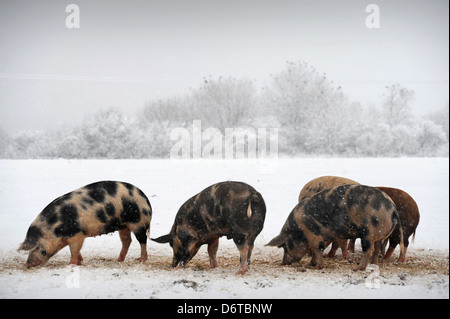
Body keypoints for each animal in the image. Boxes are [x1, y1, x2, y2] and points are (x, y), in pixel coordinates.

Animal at [18, 181, 152, 268]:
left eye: (42, 251)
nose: (28, 264)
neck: (54, 227)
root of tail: (146, 201)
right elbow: (75, 250)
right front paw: (80, 261)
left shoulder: (77, 234)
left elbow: (74, 249)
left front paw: (71, 264)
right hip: (123, 226)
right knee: (127, 241)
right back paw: (118, 260)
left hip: (138, 223)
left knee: (142, 240)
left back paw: (141, 260)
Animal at [268, 184, 404, 272]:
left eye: (285, 246)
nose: (283, 262)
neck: (299, 230)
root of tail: (393, 209)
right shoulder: (324, 236)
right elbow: (320, 249)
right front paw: (312, 263)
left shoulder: (313, 235)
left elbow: (317, 249)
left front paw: (318, 267)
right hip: (381, 235)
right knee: (377, 249)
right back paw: (373, 265)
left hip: (368, 233)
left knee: (369, 250)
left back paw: (357, 268)